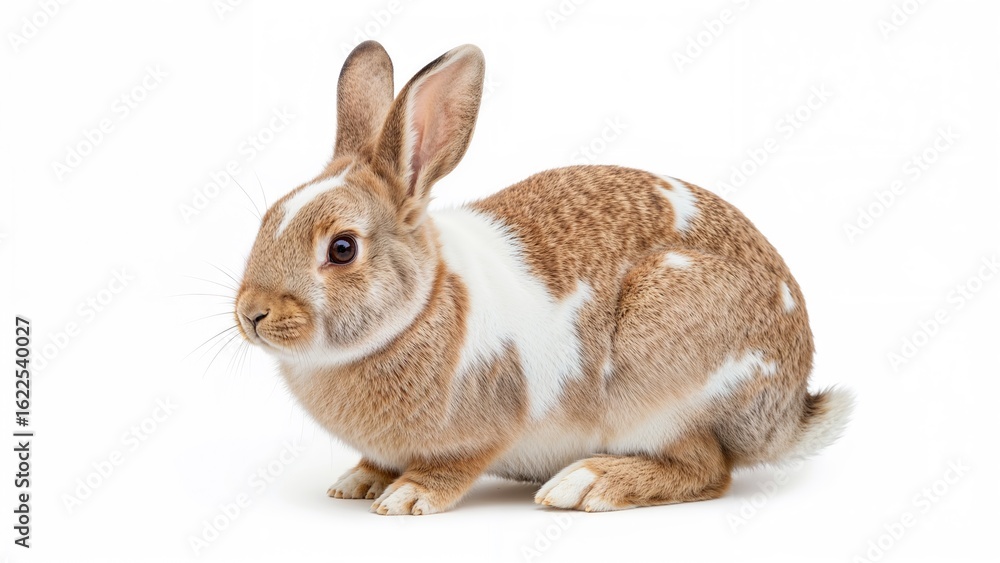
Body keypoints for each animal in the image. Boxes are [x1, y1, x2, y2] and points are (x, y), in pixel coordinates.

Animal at [233, 40, 853, 515]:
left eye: (342, 249)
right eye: (267, 221)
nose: (252, 313)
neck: (422, 307)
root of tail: (789, 407)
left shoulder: (485, 426)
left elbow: (453, 465)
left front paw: (407, 498)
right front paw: (359, 482)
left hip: (662, 388)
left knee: (705, 467)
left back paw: (586, 484)